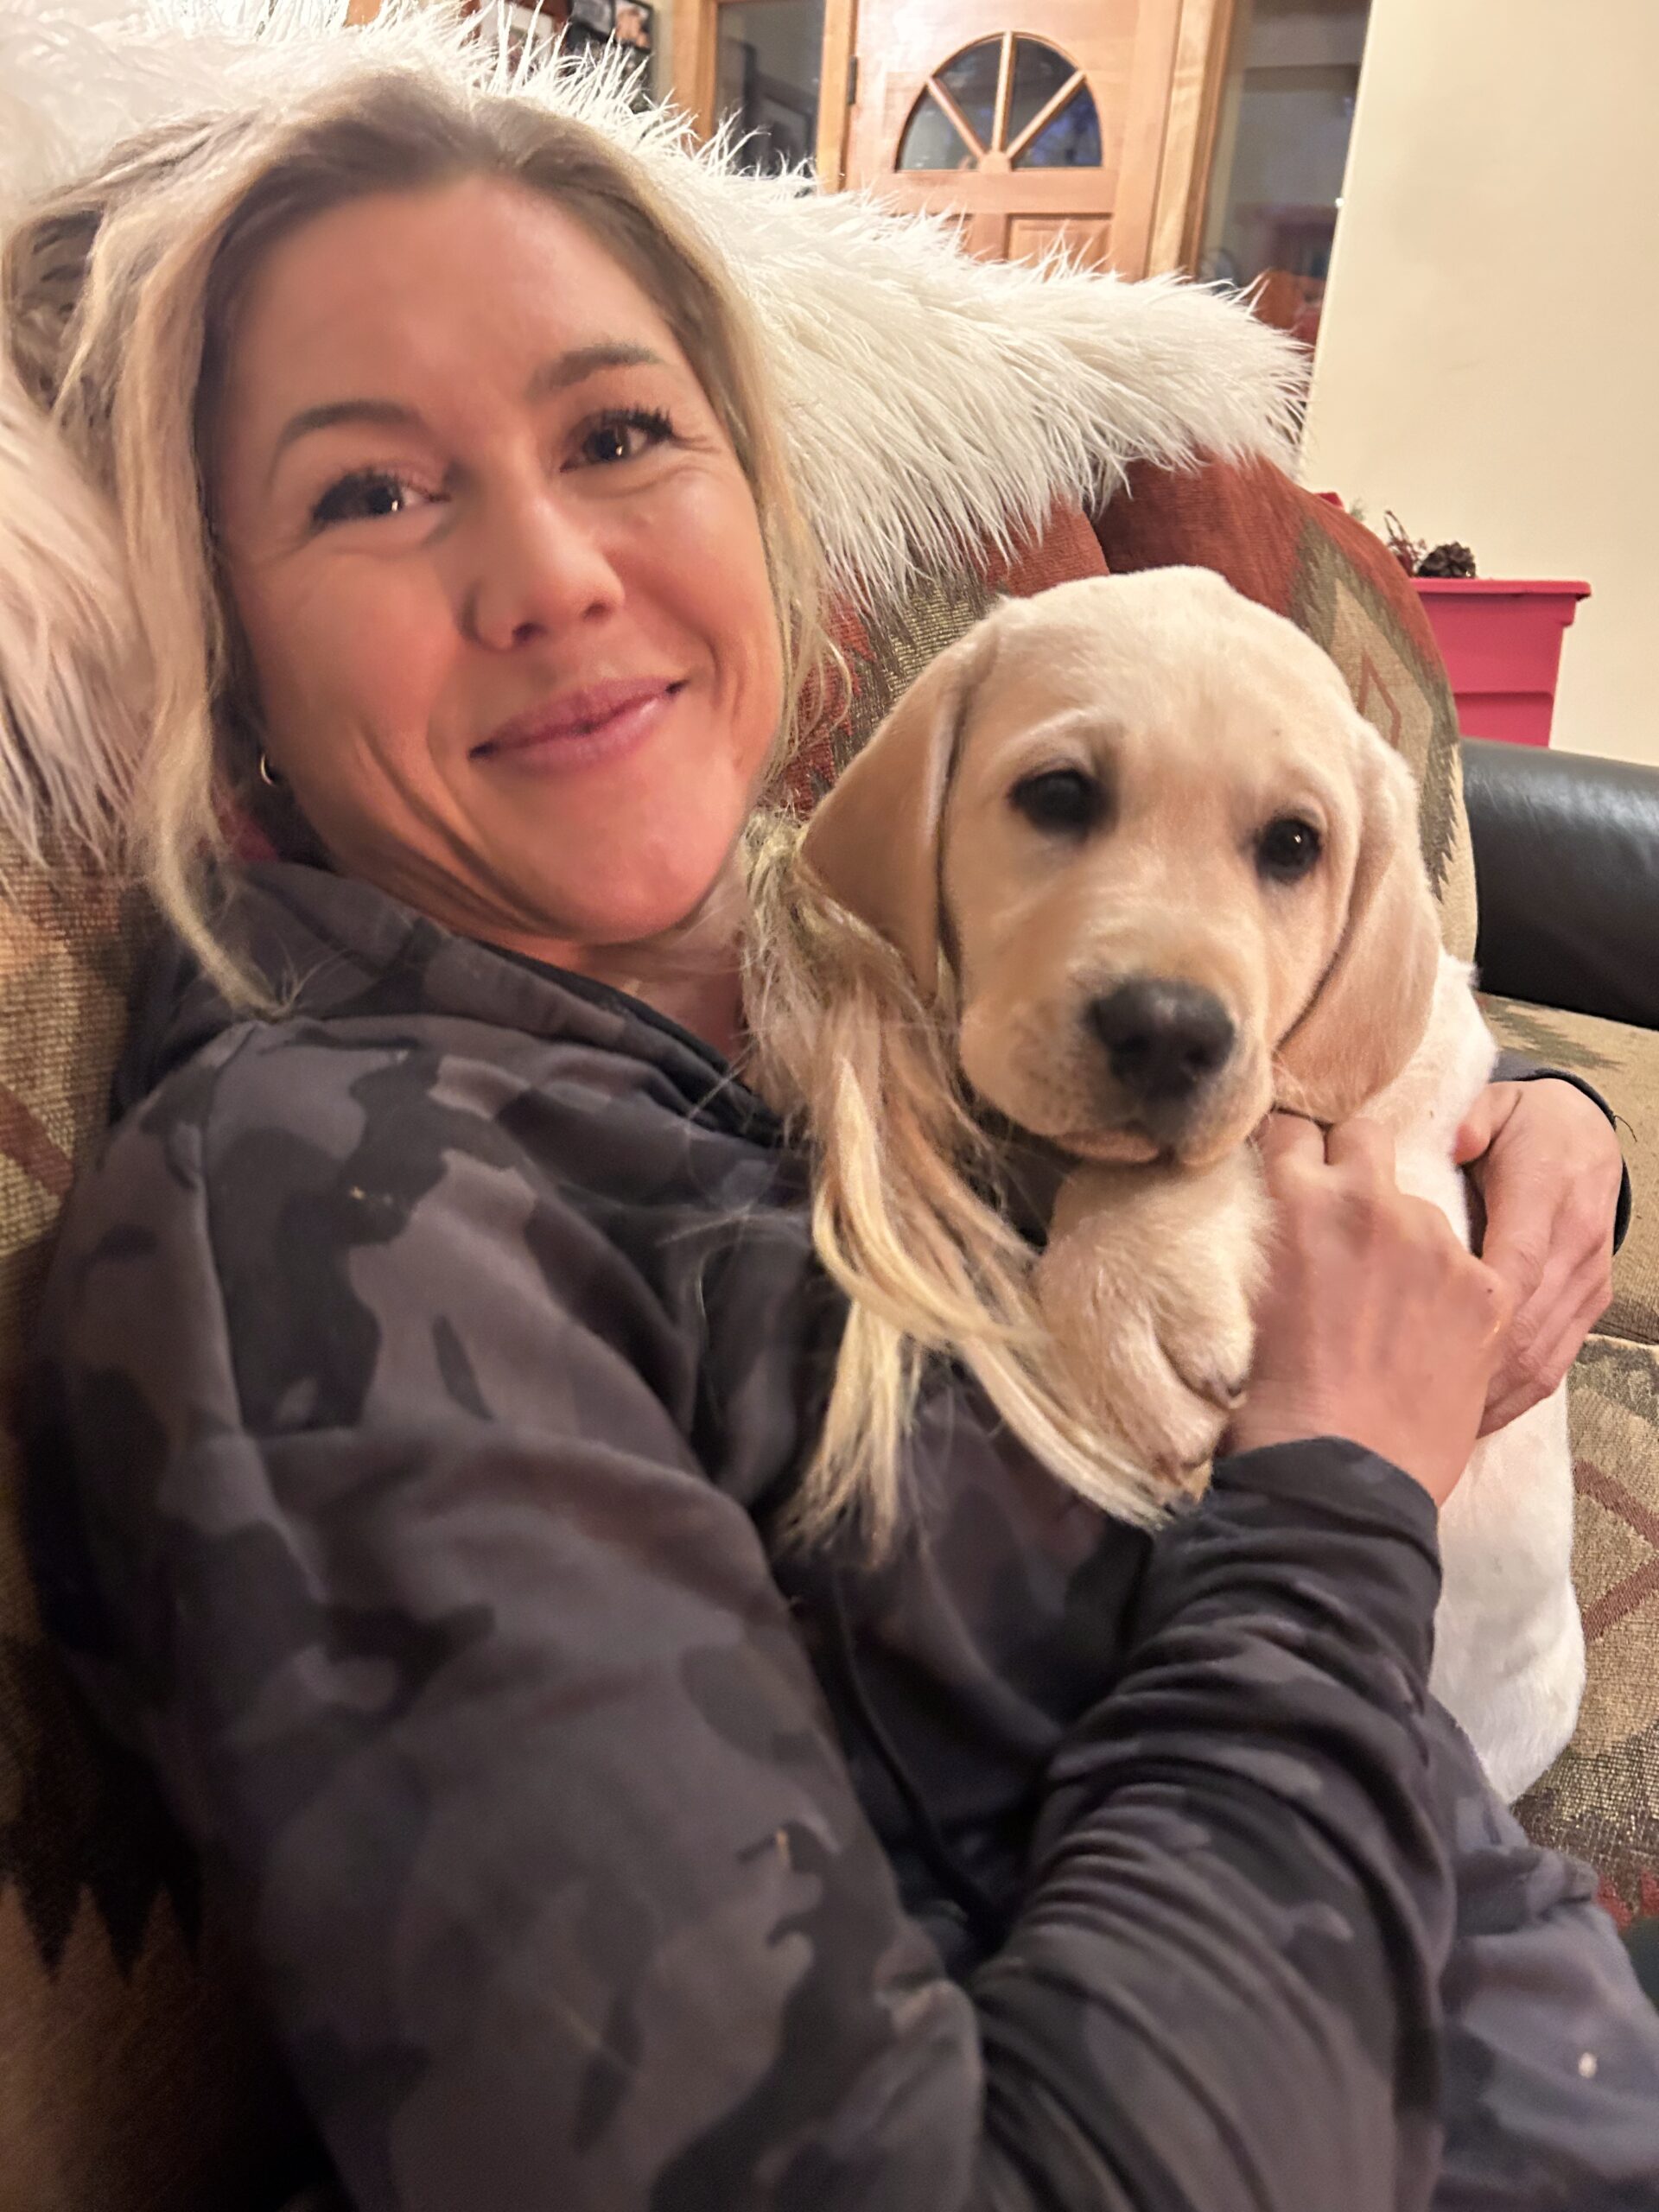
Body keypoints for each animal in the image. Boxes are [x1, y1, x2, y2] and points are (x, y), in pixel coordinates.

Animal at [783, 568, 1583, 1803]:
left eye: (1295, 845)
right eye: (1059, 796)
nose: (1168, 1032)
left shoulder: (1401, 1111)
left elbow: (1262, 1124)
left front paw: (1132, 1294)